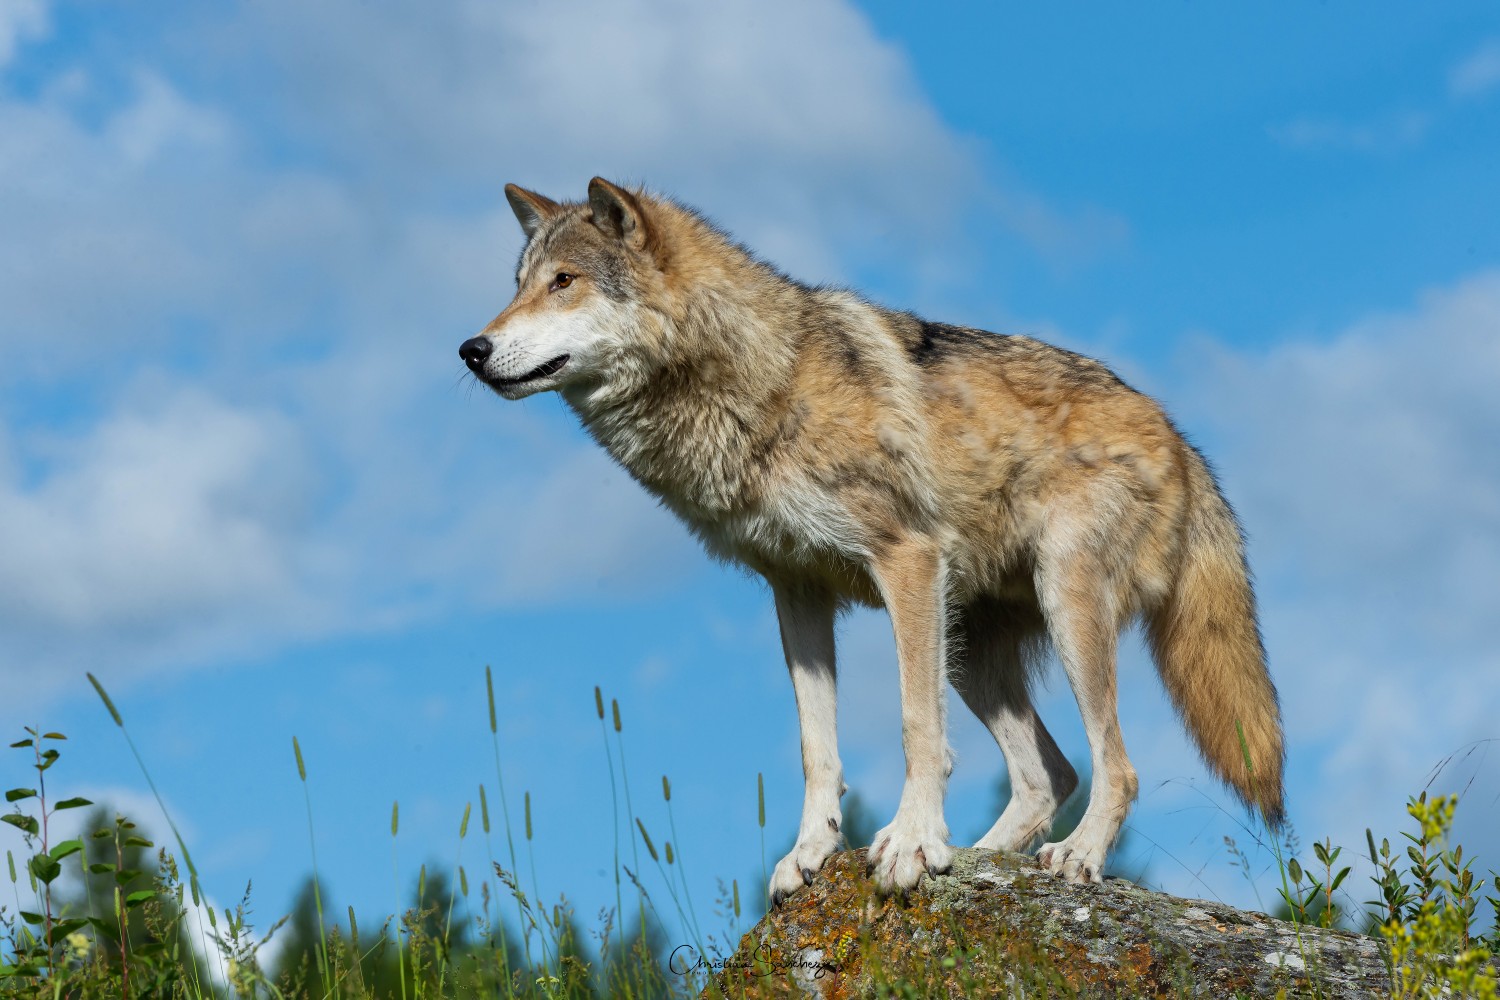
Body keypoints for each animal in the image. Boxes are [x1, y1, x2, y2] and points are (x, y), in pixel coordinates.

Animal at [459, 177, 1285, 901]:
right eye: (518, 283)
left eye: (564, 281)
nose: (472, 349)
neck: (767, 382)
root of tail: (1179, 435)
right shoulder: (795, 592)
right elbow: (816, 748)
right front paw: (812, 853)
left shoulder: (906, 560)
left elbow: (916, 727)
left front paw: (912, 845)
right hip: (971, 649)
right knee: (1051, 773)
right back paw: (979, 858)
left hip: (1061, 606)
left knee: (1116, 766)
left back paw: (1074, 859)